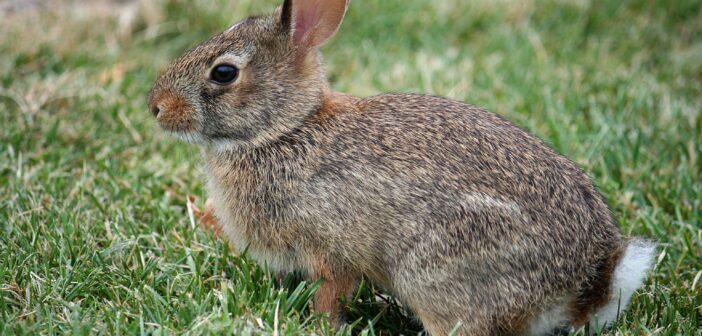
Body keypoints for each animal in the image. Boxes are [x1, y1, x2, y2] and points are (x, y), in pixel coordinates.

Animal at [148, 0, 660, 334]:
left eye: (224, 73)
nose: (155, 106)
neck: (285, 130)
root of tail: (588, 284)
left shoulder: (330, 249)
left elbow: (331, 293)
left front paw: (320, 326)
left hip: (437, 271)